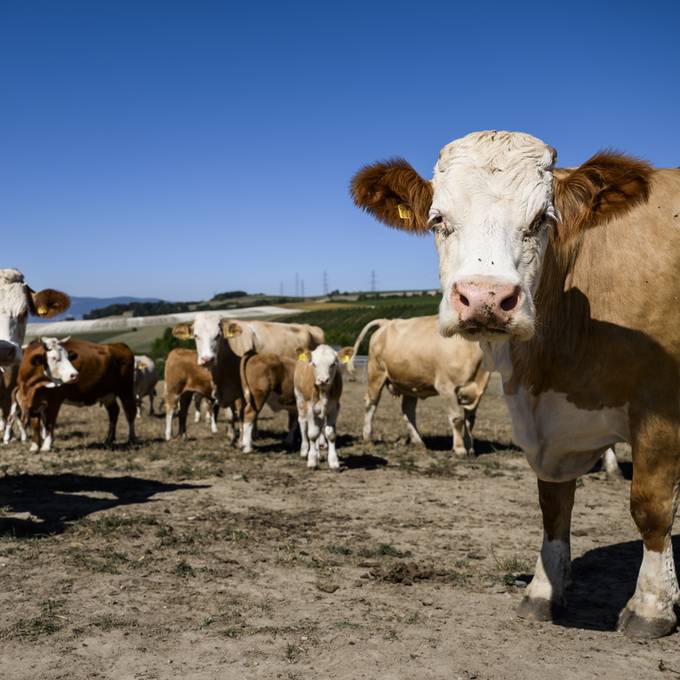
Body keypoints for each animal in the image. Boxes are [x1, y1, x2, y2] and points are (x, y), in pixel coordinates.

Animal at [350, 314, 488, 454]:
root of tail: (387, 322)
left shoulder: (478, 390)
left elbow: (470, 421)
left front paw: (470, 448)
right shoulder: (446, 387)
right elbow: (457, 419)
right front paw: (460, 449)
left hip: (410, 383)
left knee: (407, 409)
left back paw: (418, 441)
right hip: (376, 373)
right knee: (371, 403)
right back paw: (367, 437)